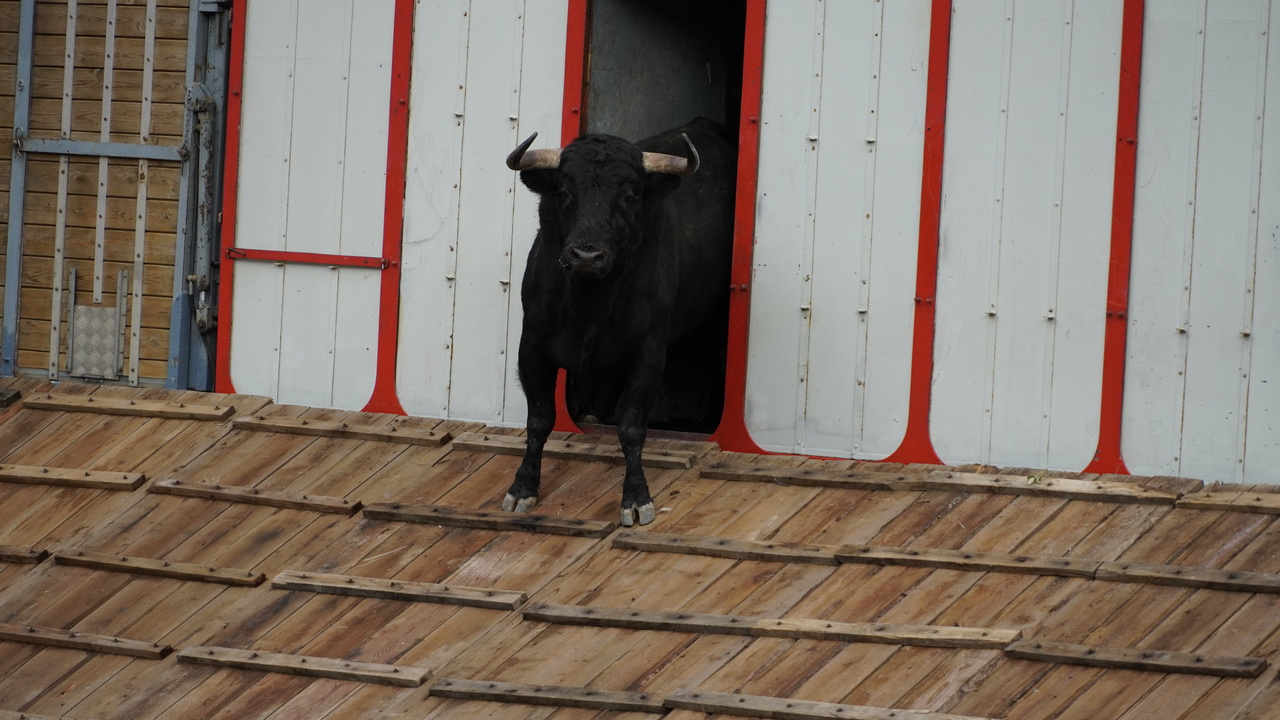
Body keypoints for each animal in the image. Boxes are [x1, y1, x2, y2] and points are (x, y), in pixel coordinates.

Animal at [502, 118, 736, 526]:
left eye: (629, 197)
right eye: (565, 192)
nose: (586, 255)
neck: (588, 306)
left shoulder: (648, 352)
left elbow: (632, 427)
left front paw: (636, 499)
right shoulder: (531, 346)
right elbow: (539, 419)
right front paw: (523, 488)